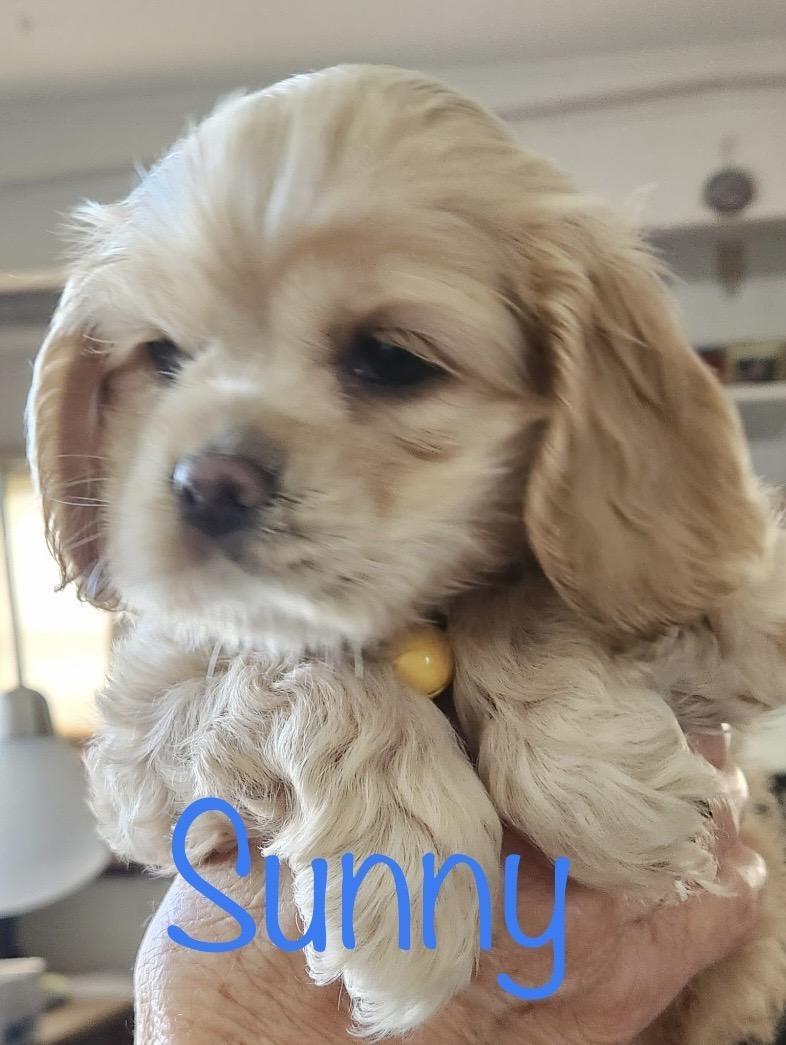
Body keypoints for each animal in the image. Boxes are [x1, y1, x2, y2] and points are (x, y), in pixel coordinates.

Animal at [27, 64, 786, 1040]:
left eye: (390, 359)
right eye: (162, 357)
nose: (206, 483)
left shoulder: (743, 593)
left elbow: (537, 588)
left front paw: (603, 780)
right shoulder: (137, 744)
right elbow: (285, 665)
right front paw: (403, 865)